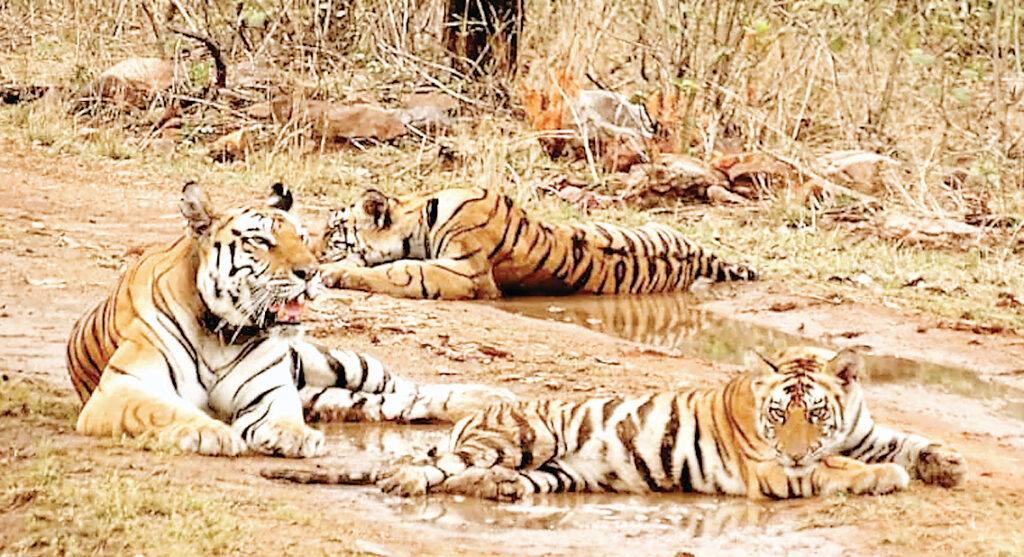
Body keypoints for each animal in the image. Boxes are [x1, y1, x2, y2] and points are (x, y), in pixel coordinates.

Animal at [66, 181, 512, 456]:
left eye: (300, 237)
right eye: (261, 241)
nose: (311, 272)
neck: (222, 333)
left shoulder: (270, 390)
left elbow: (281, 413)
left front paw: (291, 436)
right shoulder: (122, 388)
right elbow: (164, 410)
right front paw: (209, 431)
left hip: (336, 362)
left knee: (408, 389)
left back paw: (492, 399)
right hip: (331, 393)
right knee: (391, 404)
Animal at [315, 187, 757, 301]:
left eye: (334, 230)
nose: (312, 250)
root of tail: (697, 253)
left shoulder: (470, 273)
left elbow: (402, 270)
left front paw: (334, 272)